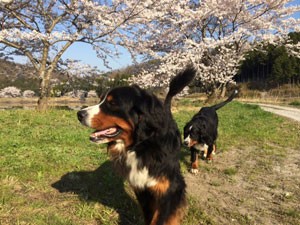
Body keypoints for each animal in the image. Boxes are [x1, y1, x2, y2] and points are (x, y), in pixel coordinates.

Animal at [76, 67, 196, 225]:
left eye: (112, 103)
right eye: (101, 100)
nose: (79, 114)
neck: (142, 146)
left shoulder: (168, 190)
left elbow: (160, 219)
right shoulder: (142, 189)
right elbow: (149, 216)